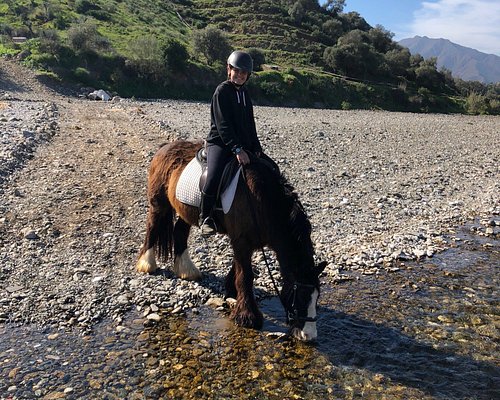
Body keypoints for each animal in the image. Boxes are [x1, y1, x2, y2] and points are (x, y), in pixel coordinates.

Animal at [136, 140, 328, 340]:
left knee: (180, 231)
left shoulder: (245, 241)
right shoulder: (241, 240)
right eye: (301, 297)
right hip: (158, 203)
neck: (260, 201)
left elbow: (238, 268)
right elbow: (246, 275)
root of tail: (164, 147)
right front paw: (247, 316)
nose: (309, 335)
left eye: (317, 297)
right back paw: (147, 264)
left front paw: (231, 290)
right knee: (152, 228)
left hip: (185, 210)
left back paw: (187, 271)